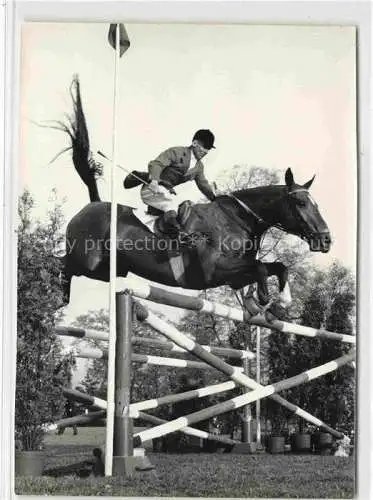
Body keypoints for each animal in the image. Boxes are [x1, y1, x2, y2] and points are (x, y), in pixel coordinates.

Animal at [54, 76, 328, 316]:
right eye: (301, 203)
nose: (326, 240)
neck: (236, 222)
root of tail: (93, 204)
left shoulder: (234, 278)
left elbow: (278, 267)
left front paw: (279, 304)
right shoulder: (214, 270)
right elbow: (260, 267)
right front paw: (262, 299)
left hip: (109, 270)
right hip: (86, 261)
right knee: (58, 264)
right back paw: (53, 296)